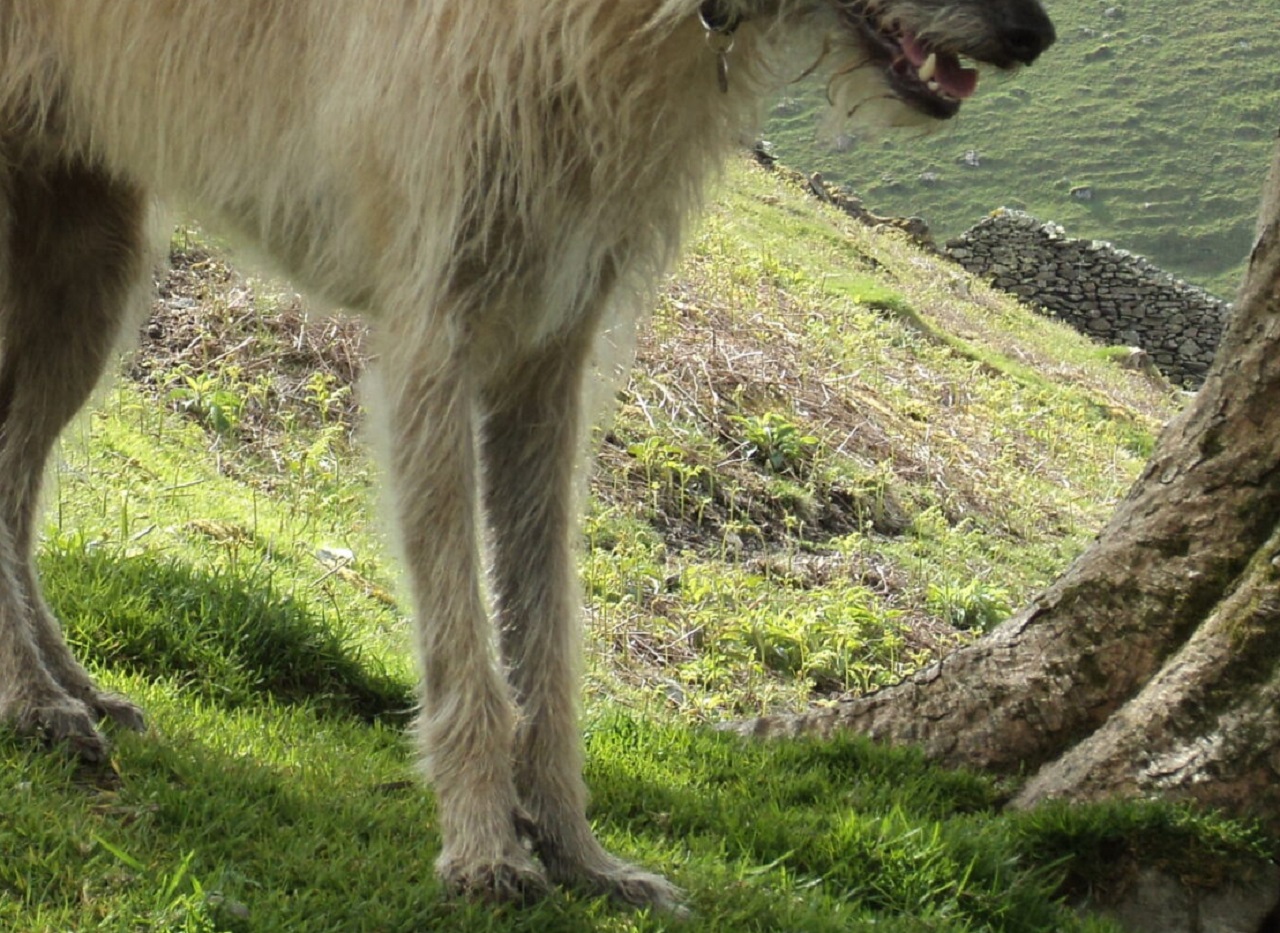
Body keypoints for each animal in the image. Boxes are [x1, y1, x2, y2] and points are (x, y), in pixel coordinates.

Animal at [0, 0, 1049, 911]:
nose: (1034, 37)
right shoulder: (431, 333)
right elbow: (463, 625)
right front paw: (482, 844)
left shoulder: (549, 358)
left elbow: (544, 626)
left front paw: (577, 852)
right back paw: (35, 701)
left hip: (88, 253)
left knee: (15, 476)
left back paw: (67, 687)